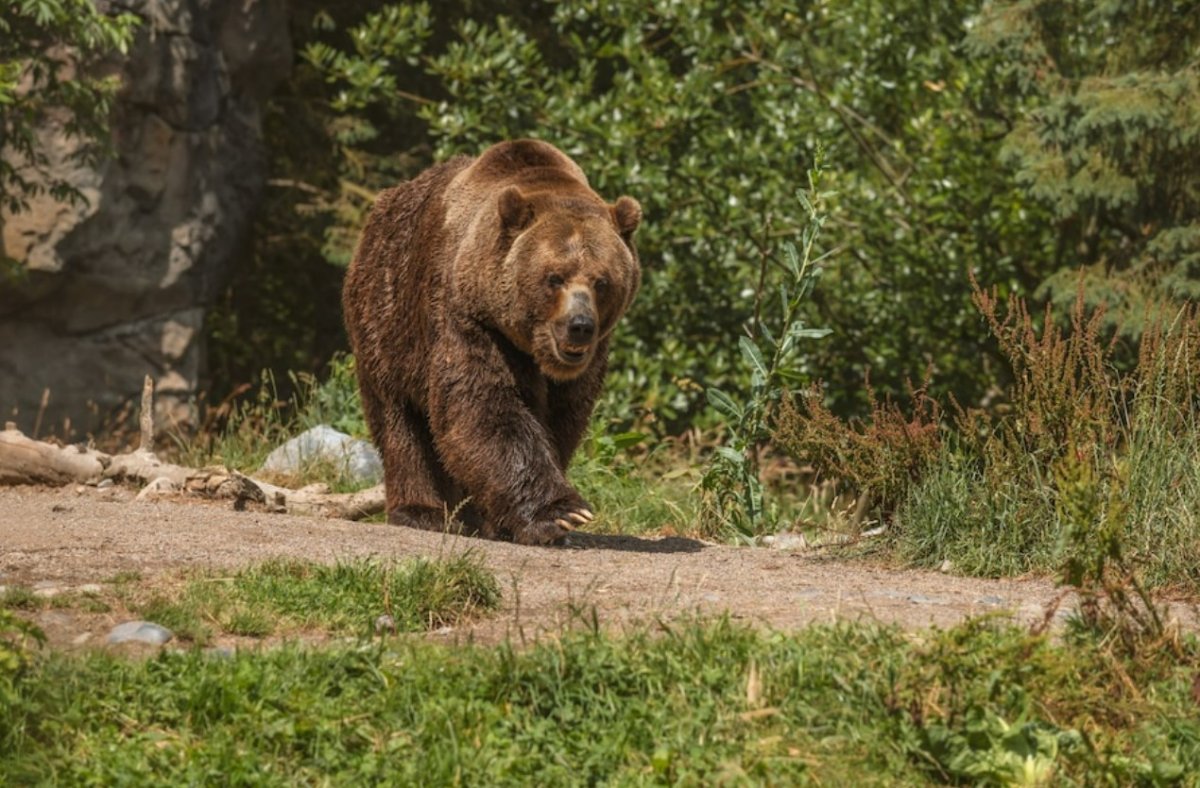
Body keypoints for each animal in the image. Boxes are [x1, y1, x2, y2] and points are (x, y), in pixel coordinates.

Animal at [343, 138, 643, 544]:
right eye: (554, 277)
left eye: (602, 281)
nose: (579, 326)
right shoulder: (469, 319)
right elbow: (485, 407)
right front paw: (561, 513)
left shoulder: (585, 363)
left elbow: (562, 419)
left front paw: (511, 520)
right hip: (387, 318)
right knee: (400, 420)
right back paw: (421, 511)